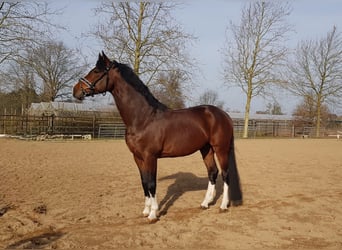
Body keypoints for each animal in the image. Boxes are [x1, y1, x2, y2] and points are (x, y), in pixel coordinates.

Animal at [73, 51, 242, 222]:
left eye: (96, 71)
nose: (76, 90)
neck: (143, 118)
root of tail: (224, 115)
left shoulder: (150, 157)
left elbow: (151, 183)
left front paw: (153, 214)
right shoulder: (137, 157)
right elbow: (144, 182)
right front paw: (145, 210)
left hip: (220, 149)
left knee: (225, 174)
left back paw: (223, 206)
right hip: (206, 149)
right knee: (212, 173)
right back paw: (205, 203)